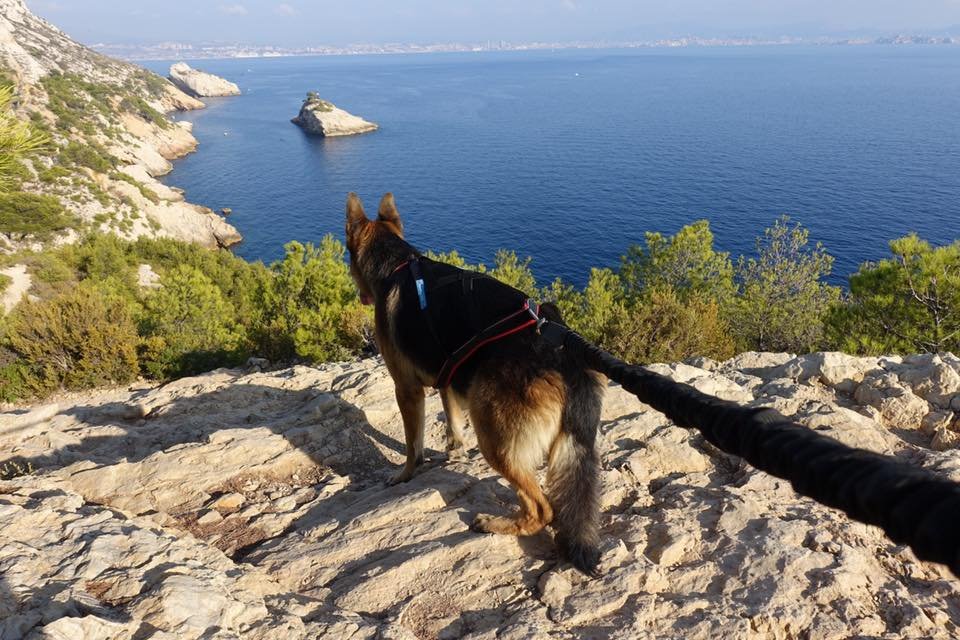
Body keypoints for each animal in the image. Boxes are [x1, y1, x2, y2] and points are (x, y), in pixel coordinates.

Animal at [344, 192, 600, 572]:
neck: (398, 265)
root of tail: (564, 361)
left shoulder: (407, 390)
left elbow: (412, 444)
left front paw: (404, 474)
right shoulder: (447, 378)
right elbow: (451, 419)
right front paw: (454, 449)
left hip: (496, 439)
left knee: (543, 509)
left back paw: (499, 524)